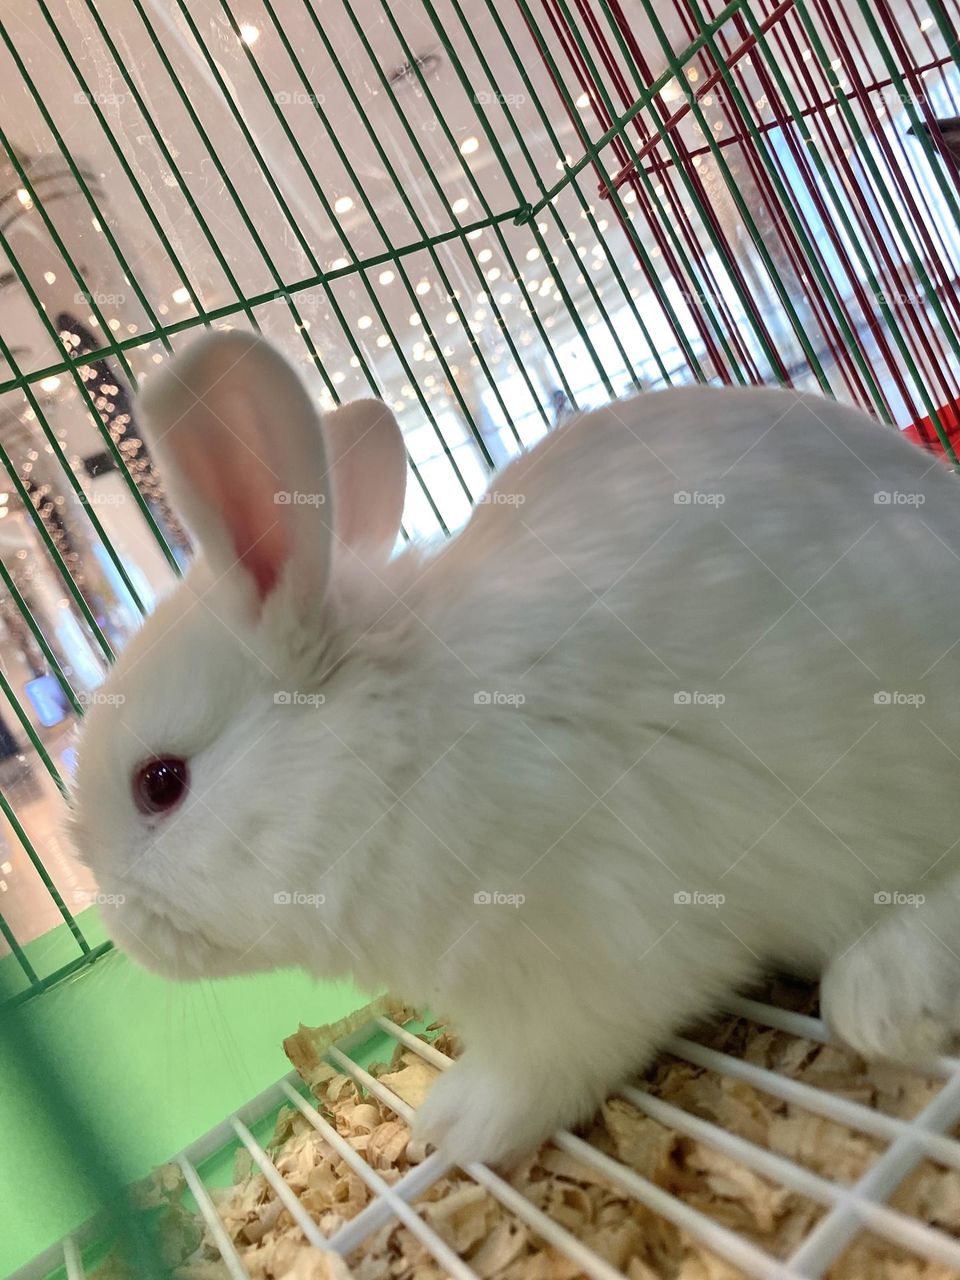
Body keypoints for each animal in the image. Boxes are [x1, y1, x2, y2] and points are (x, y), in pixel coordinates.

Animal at [70, 330, 960, 1168]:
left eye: (161, 782)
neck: (393, 750)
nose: (119, 927)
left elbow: (548, 1063)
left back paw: (883, 998)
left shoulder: (591, 955)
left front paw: (455, 1125)